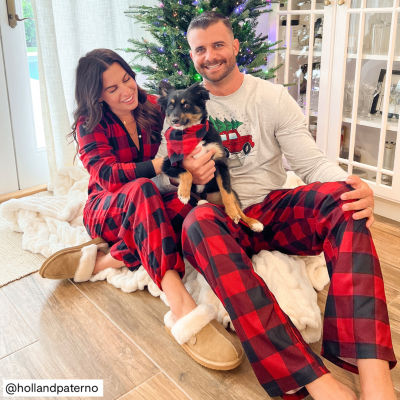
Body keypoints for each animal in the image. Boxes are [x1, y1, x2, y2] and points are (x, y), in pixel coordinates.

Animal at [158, 81, 264, 231]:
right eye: (170, 106)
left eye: (186, 105)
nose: (174, 120)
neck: (191, 133)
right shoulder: (167, 164)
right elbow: (186, 172)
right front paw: (183, 194)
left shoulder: (220, 163)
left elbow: (226, 193)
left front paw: (232, 213)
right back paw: (200, 201)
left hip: (227, 193)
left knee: (235, 203)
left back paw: (252, 222)